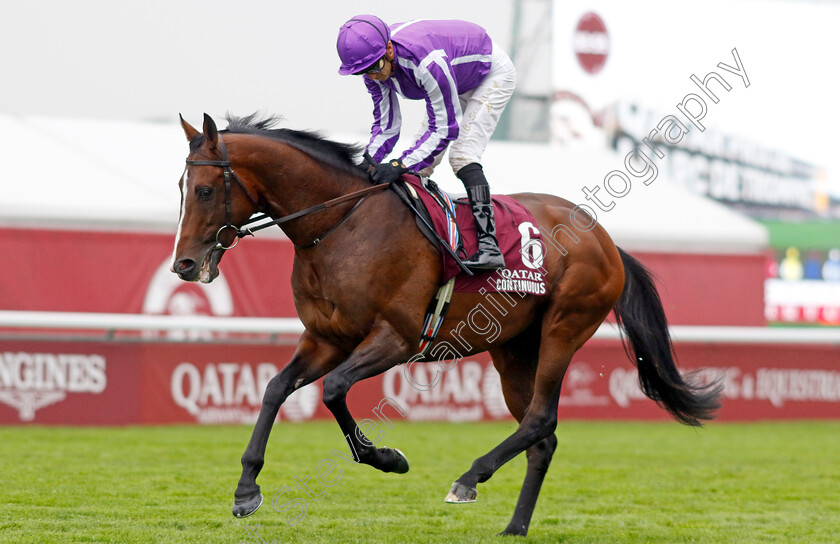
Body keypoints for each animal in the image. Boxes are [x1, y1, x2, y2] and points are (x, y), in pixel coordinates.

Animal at [171, 112, 720, 536]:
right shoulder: (325, 338)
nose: (184, 265)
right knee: (541, 436)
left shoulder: (394, 337)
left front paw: (386, 456)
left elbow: (334, 390)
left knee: (541, 419)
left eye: (204, 189)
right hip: (511, 350)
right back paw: (515, 527)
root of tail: (607, 241)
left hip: (564, 327)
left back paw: (469, 479)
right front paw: (246, 489)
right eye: (181, 188)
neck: (342, 225)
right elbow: (275, 388)